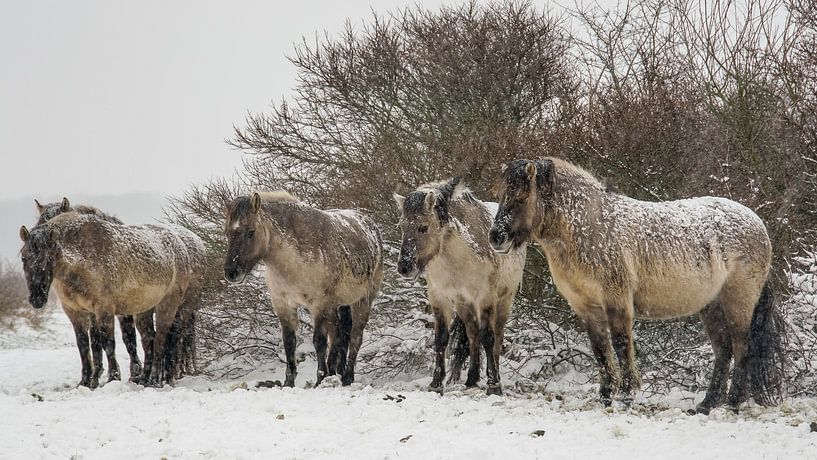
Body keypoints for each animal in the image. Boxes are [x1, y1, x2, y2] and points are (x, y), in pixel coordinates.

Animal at [19, 212, 204, 388]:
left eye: (50, 258)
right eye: (24, 258)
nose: (37, 298)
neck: (82, 258)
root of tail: (181, 243)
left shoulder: (104, 309)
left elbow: (107, 343)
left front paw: (113, 378)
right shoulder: (75, 312)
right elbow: (84, 345)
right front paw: (86, 381)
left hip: (170, 305)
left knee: (163, 338)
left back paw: (157, 380)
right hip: (144, 310)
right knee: (149, 339)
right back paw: (146, 378)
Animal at [223, 191, 382, 388]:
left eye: (251, 232)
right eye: (227, 233)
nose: (231, 272)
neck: (292, 263)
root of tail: (370, 226)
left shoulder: (319, 305)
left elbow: (319, 342)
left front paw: (320, 379)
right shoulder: (283, 305)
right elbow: (289, 343)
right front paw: (288, 382)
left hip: (362, 301)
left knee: (355, 337)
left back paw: (347, 377)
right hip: (341, 304)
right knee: (340, 334)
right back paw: (336, 372)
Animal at [394, 179, 524, 396]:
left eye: (423, 227)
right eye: (402, 226)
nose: (404, 268)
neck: (458, 256)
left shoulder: (485, 297)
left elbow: (488, 337)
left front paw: (493, 385)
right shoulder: (439, 298)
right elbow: (441, 339)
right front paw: (436, 384)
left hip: (504, 300)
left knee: (497, 337)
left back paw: (494, 375)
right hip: (464, 304)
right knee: (472, 333)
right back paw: (471, 378)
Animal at [488, 158, 780, 414]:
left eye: (521, 197)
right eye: (501, 195)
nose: (496, 238)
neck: (589, 228)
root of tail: (758, 223)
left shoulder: (616, 301)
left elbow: (621, 345)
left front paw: (626, 396)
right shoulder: (586, 306)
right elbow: (600, 349)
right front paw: (606, 396)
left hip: (737, 302)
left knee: (742, 348)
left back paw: (732, 404)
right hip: (711, 305)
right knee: (723, 351)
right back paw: (706, 405)